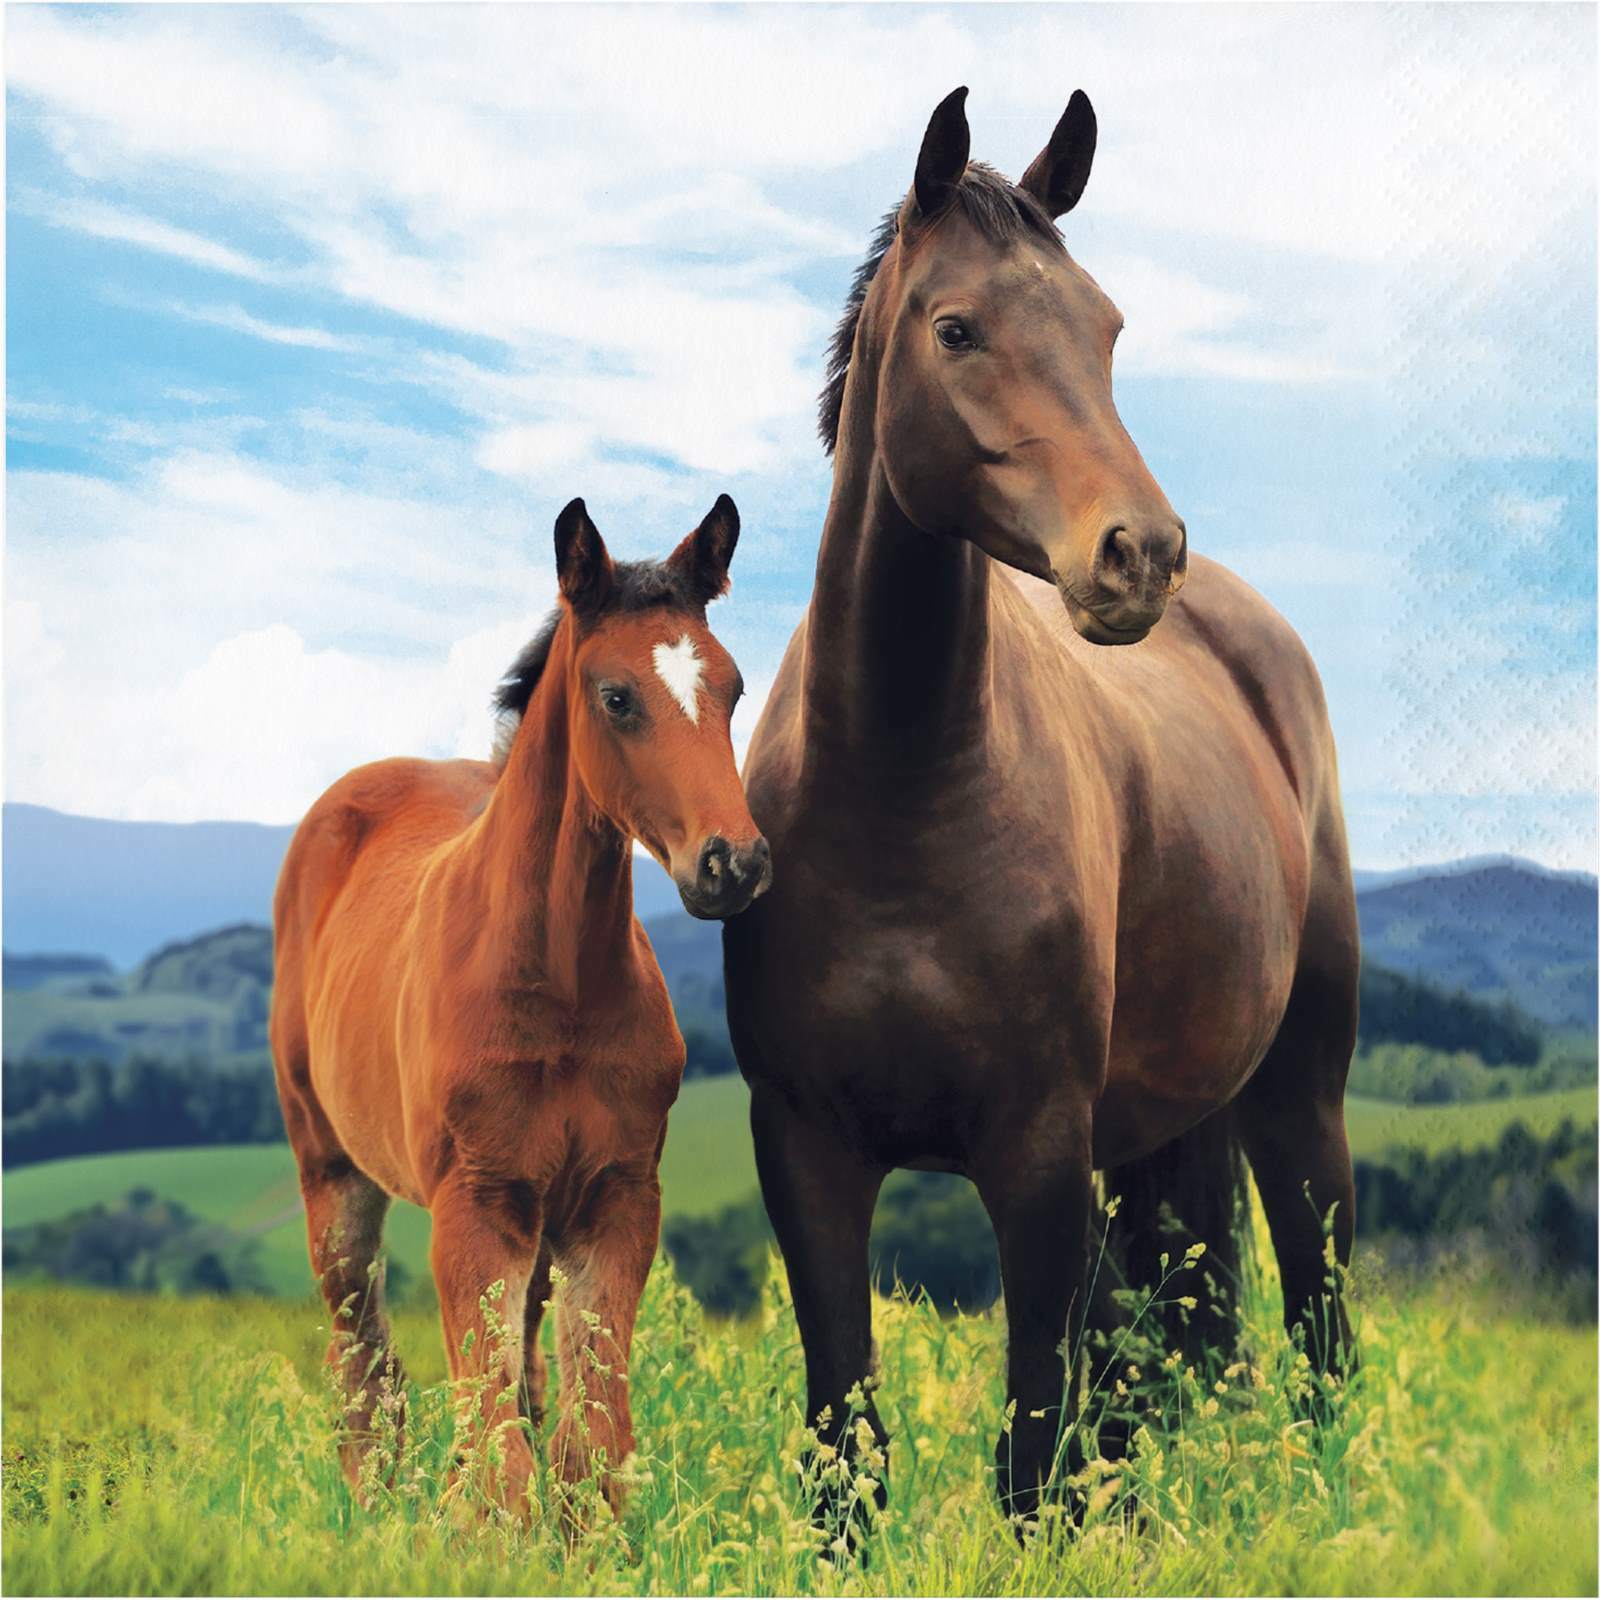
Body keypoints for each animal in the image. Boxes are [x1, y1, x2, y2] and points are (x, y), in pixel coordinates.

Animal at [270, 495, 771, 1521]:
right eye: (616, 696)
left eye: (735, 689)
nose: (732, 864)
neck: (560, 987)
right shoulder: (475, 1206)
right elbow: (496, 1451)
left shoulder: (615, 1199)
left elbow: (590, 1448)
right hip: (333, 1173)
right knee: (365, 1375)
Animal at [722, 87, 1358, 1522]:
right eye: (956, 329)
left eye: (1106, 328)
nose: (1140, 554)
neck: (901, 794)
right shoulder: (807, 1153)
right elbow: (851, 1459)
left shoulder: (1037, 1155)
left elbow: (1034, 1456)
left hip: (1301, 1101)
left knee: (1320, 1342)